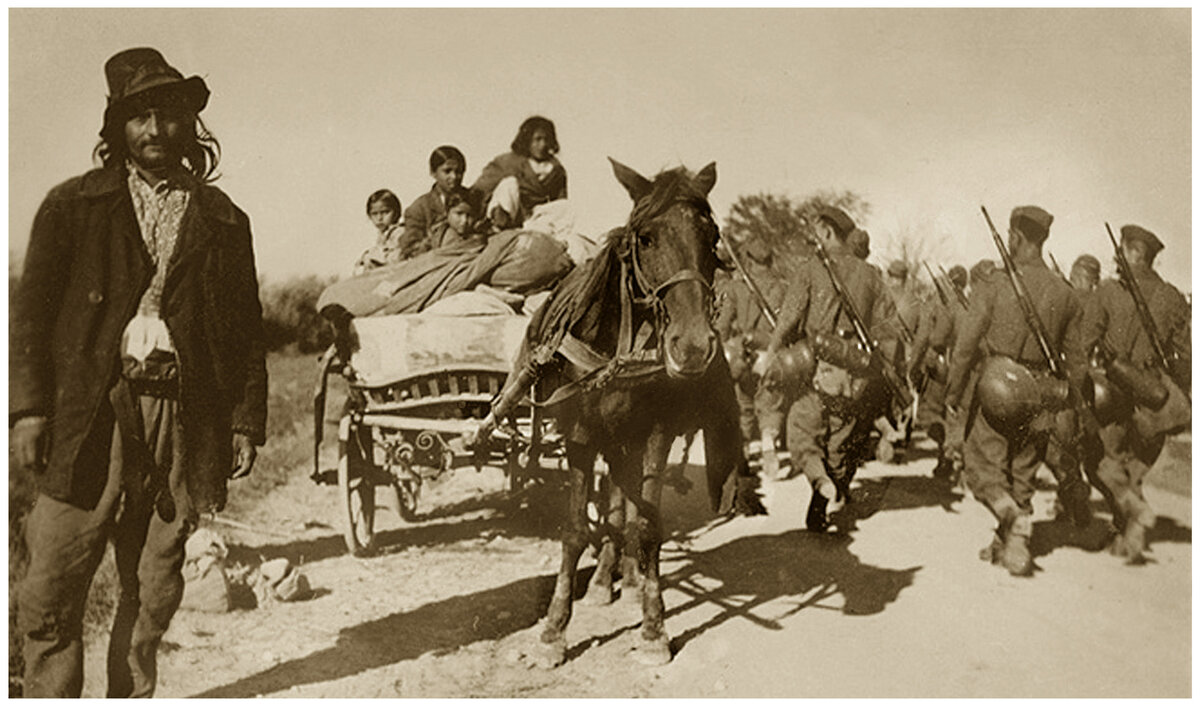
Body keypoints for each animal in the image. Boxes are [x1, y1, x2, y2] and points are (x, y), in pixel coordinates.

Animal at [513, 158, 763, 667]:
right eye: (645, 238)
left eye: (712, 236)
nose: (693, 346)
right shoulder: (581, 435)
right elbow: (576, 528)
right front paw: (554, 629)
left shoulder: (654, 432)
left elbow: (645, 525)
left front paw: (653, 627)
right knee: (613, 502)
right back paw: (606, 579)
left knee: (624, 505)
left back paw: (625, 577)